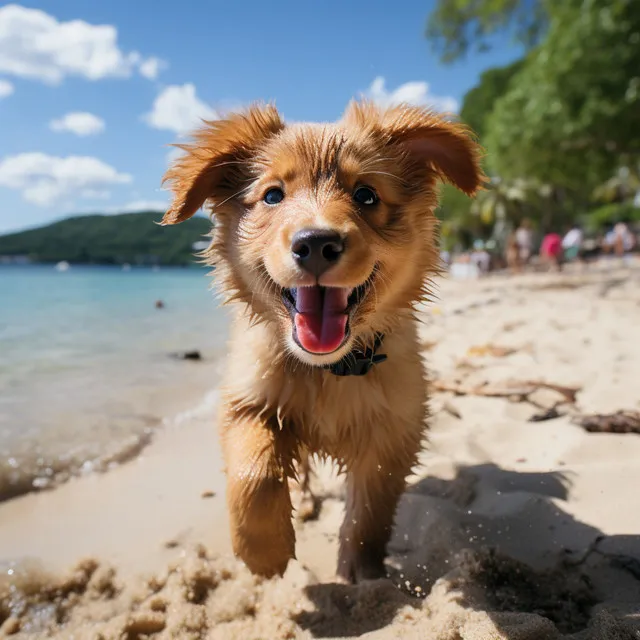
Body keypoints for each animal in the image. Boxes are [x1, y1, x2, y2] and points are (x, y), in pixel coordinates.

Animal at [162, 99, 482, 580]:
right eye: (272, 195)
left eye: (366, 195)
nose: (315, 243)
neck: (329, 367)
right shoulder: (247, 398)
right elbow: (255, 476)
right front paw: (267, 554)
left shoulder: (394, 429)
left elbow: (370, 511)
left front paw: (362, 573)